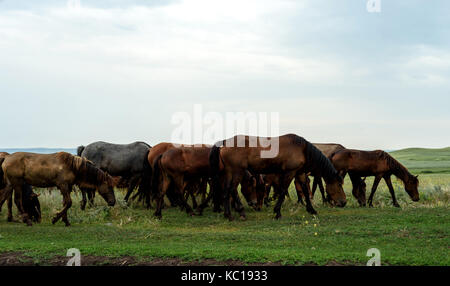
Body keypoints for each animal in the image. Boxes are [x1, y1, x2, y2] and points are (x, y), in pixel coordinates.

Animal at [209, 135, 346, 221]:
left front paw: (311, 210)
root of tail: (225, 142)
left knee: (226, 191)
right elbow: (283, 191)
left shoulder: (299, 173)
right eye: (339, 184)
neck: (301, 149)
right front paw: (277, 212)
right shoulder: (290, 172)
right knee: (232, 190)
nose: (344, 202)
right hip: (237, 171)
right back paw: (240, 213)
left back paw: (228, 215)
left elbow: (305, 192)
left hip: (229, 172)